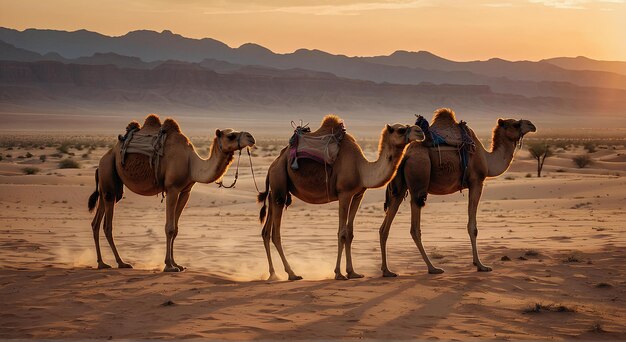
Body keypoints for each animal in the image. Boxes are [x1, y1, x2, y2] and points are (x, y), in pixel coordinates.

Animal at [87, 115, 254, 272]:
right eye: (231, 136)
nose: (251, 137)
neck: (191, 164)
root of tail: (103, 159)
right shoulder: (172, 189)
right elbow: (170, 228)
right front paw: (169, 266)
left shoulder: (185, 191)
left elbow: (176, 229)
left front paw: (177, 264)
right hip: (108, 172)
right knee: (107, 226)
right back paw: (121, 263)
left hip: (109, 187)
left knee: (96, 221)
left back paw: (102, 263)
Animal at [256, 115, 422, 280]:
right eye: (401, 130)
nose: (420, 131)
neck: (361, 170)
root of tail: (273, 164)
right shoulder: (344, 194)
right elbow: (341, 233)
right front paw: (339, 273)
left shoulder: (358, 195)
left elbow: (350, 232)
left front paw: (352, 272)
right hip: (279, 182)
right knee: (275, 234)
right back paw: (292, 274)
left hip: (276, 191)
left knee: (265, 231)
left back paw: (273, 274)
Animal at [378, 108, 532, 276]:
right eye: (516, 124)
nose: (532, 125)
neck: (487, 159)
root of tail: (405, 155)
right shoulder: (476, 182)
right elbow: (472, 227)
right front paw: (481, 265)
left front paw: (477, 263)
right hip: (419, 176)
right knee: (414, 227)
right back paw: (432, 268)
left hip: (399, 188)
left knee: (384, 227)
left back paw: (387, 271)